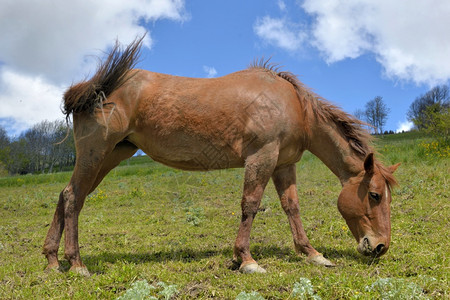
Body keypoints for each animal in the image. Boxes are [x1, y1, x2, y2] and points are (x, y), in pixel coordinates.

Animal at [43, 36, 398, 276]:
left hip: (110, 156)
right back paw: (77, 264)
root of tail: (89, 89)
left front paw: (312, 254)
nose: (380, 246)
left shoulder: (284, 164)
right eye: (375, 195)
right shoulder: (261, 157)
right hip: (95, 154)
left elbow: (292, 207)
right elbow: (250, 205)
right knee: (73, 198)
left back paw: (52, 260)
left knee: (66, 195)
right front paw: (246, 260)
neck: (292, 104)